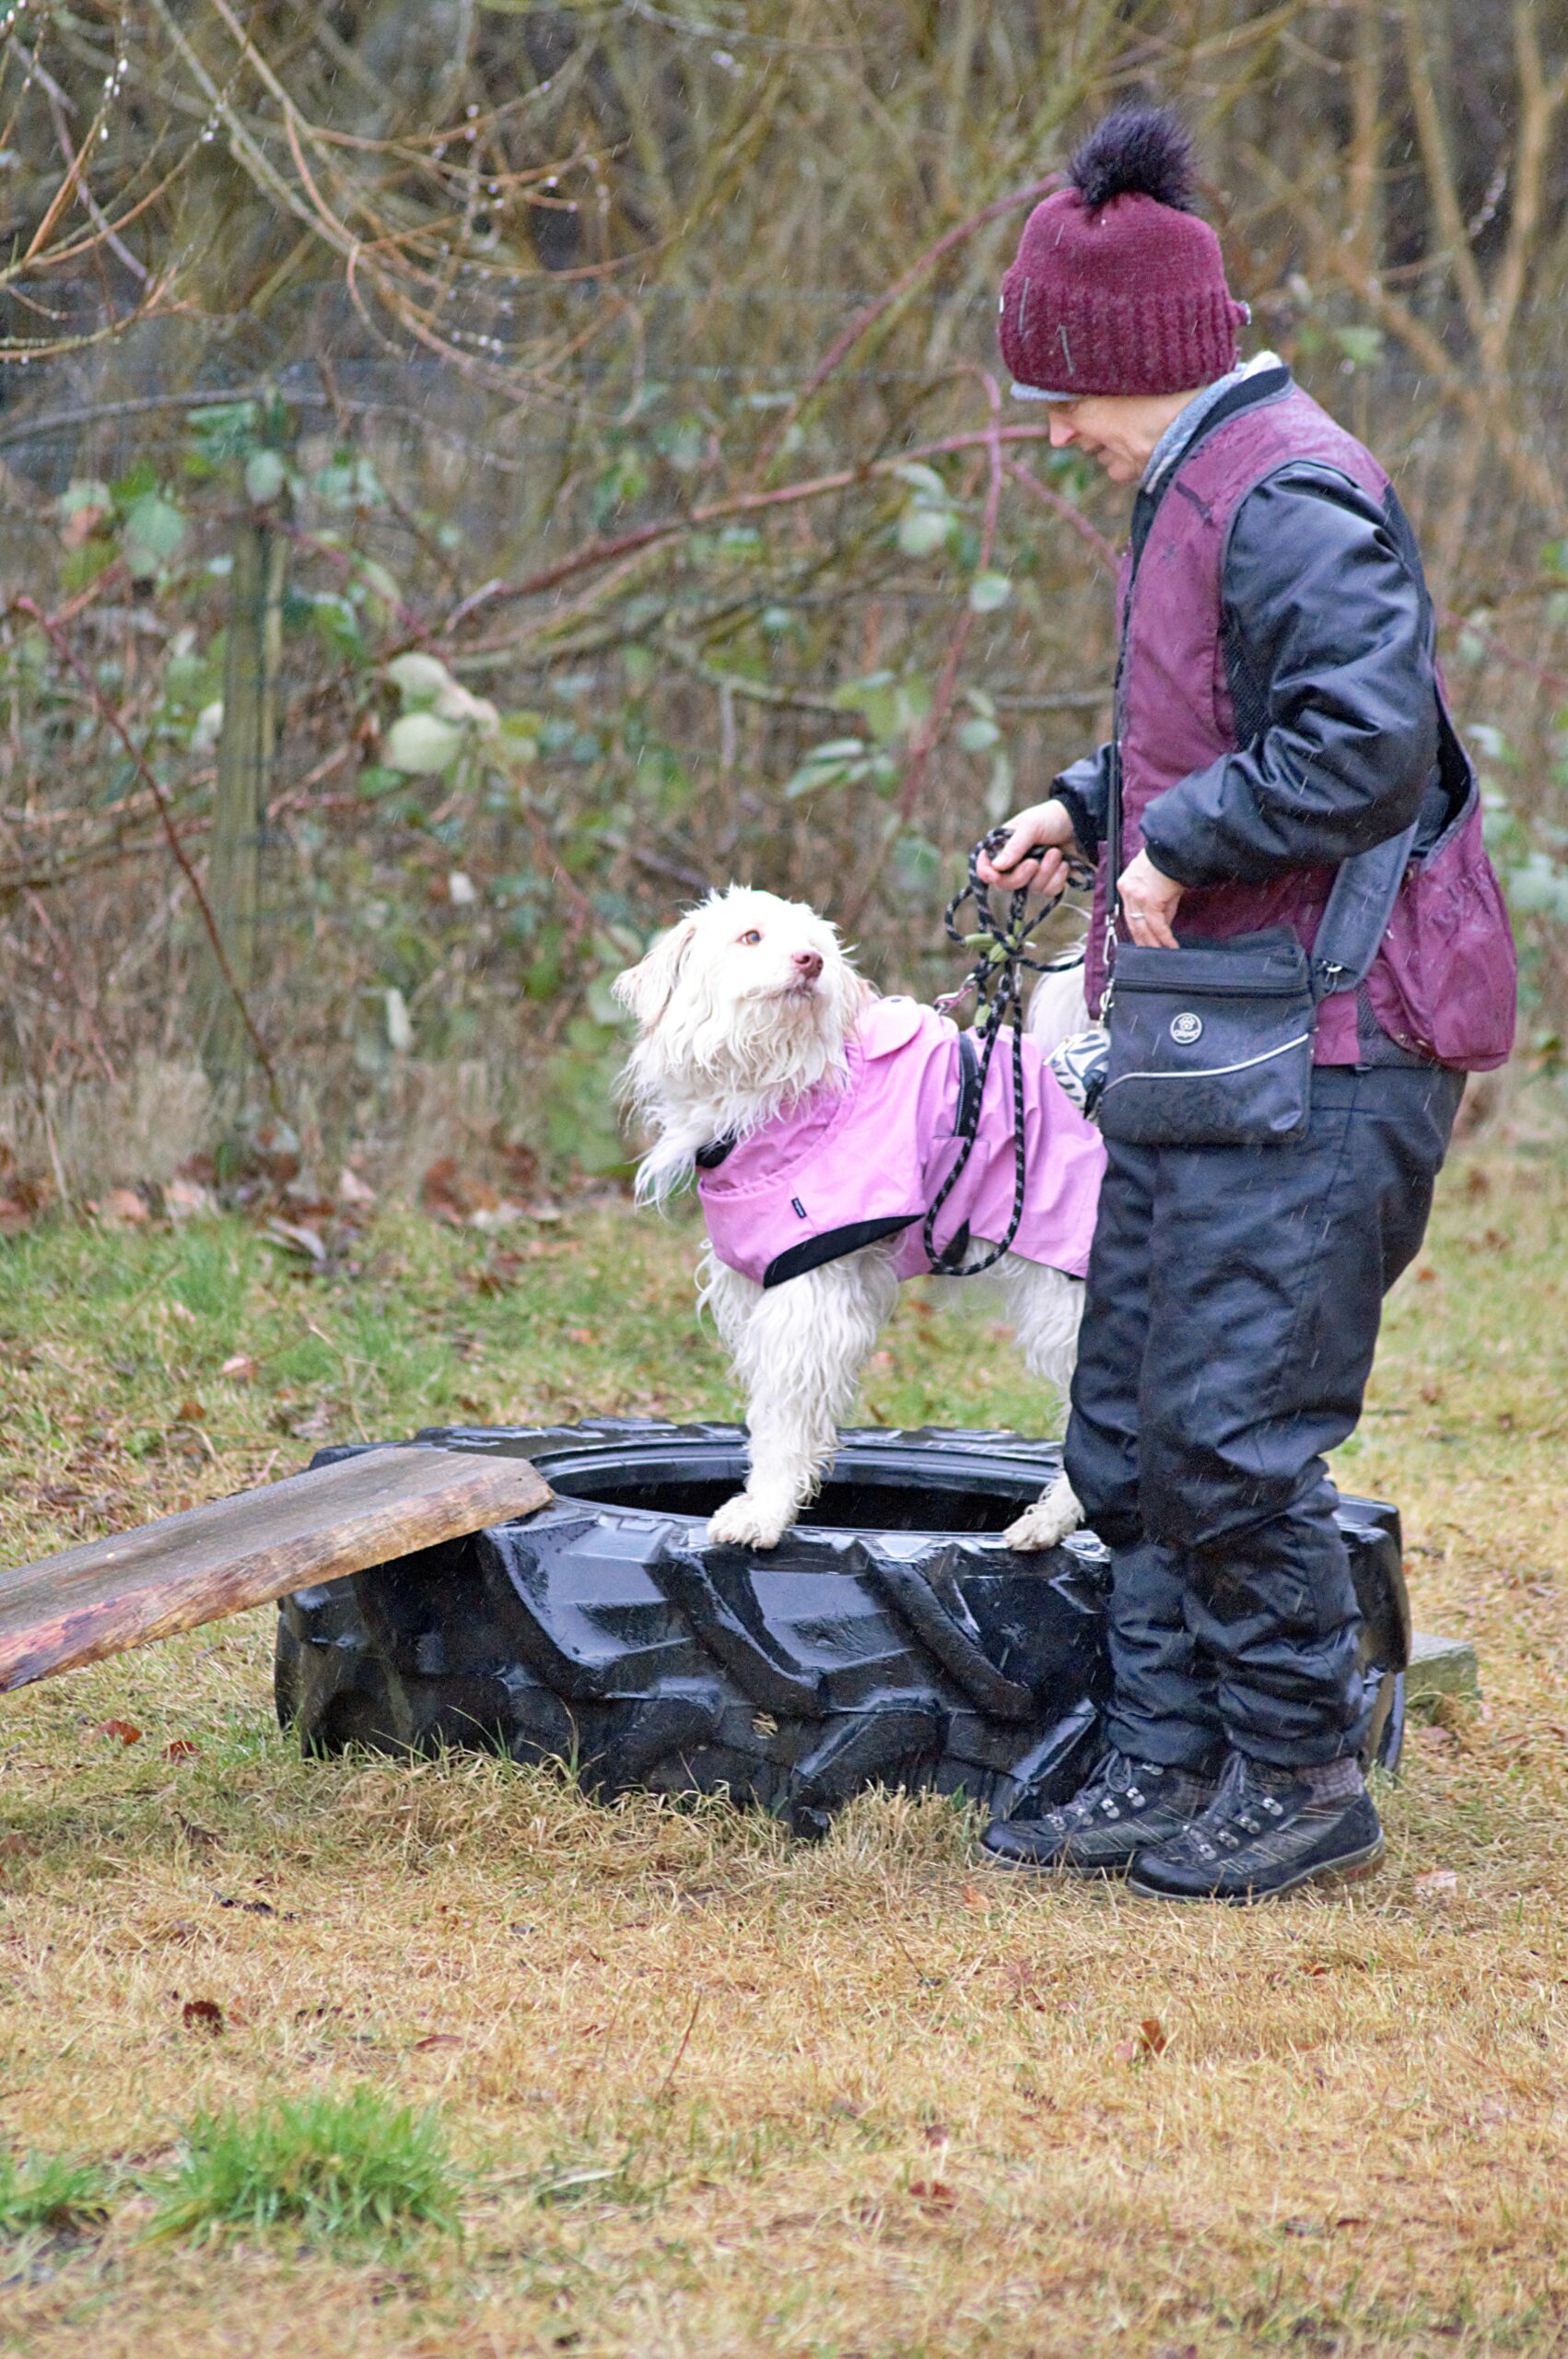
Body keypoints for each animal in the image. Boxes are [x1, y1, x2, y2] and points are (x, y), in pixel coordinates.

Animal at [613, 886, 1089, 1547]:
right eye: (751, 936)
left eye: (814, 942)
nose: (811, 961)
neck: (779, 1090)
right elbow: (775, 1414)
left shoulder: (807, 1288)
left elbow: (786, 1414)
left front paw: (764, 1511)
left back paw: (1049, 1520)